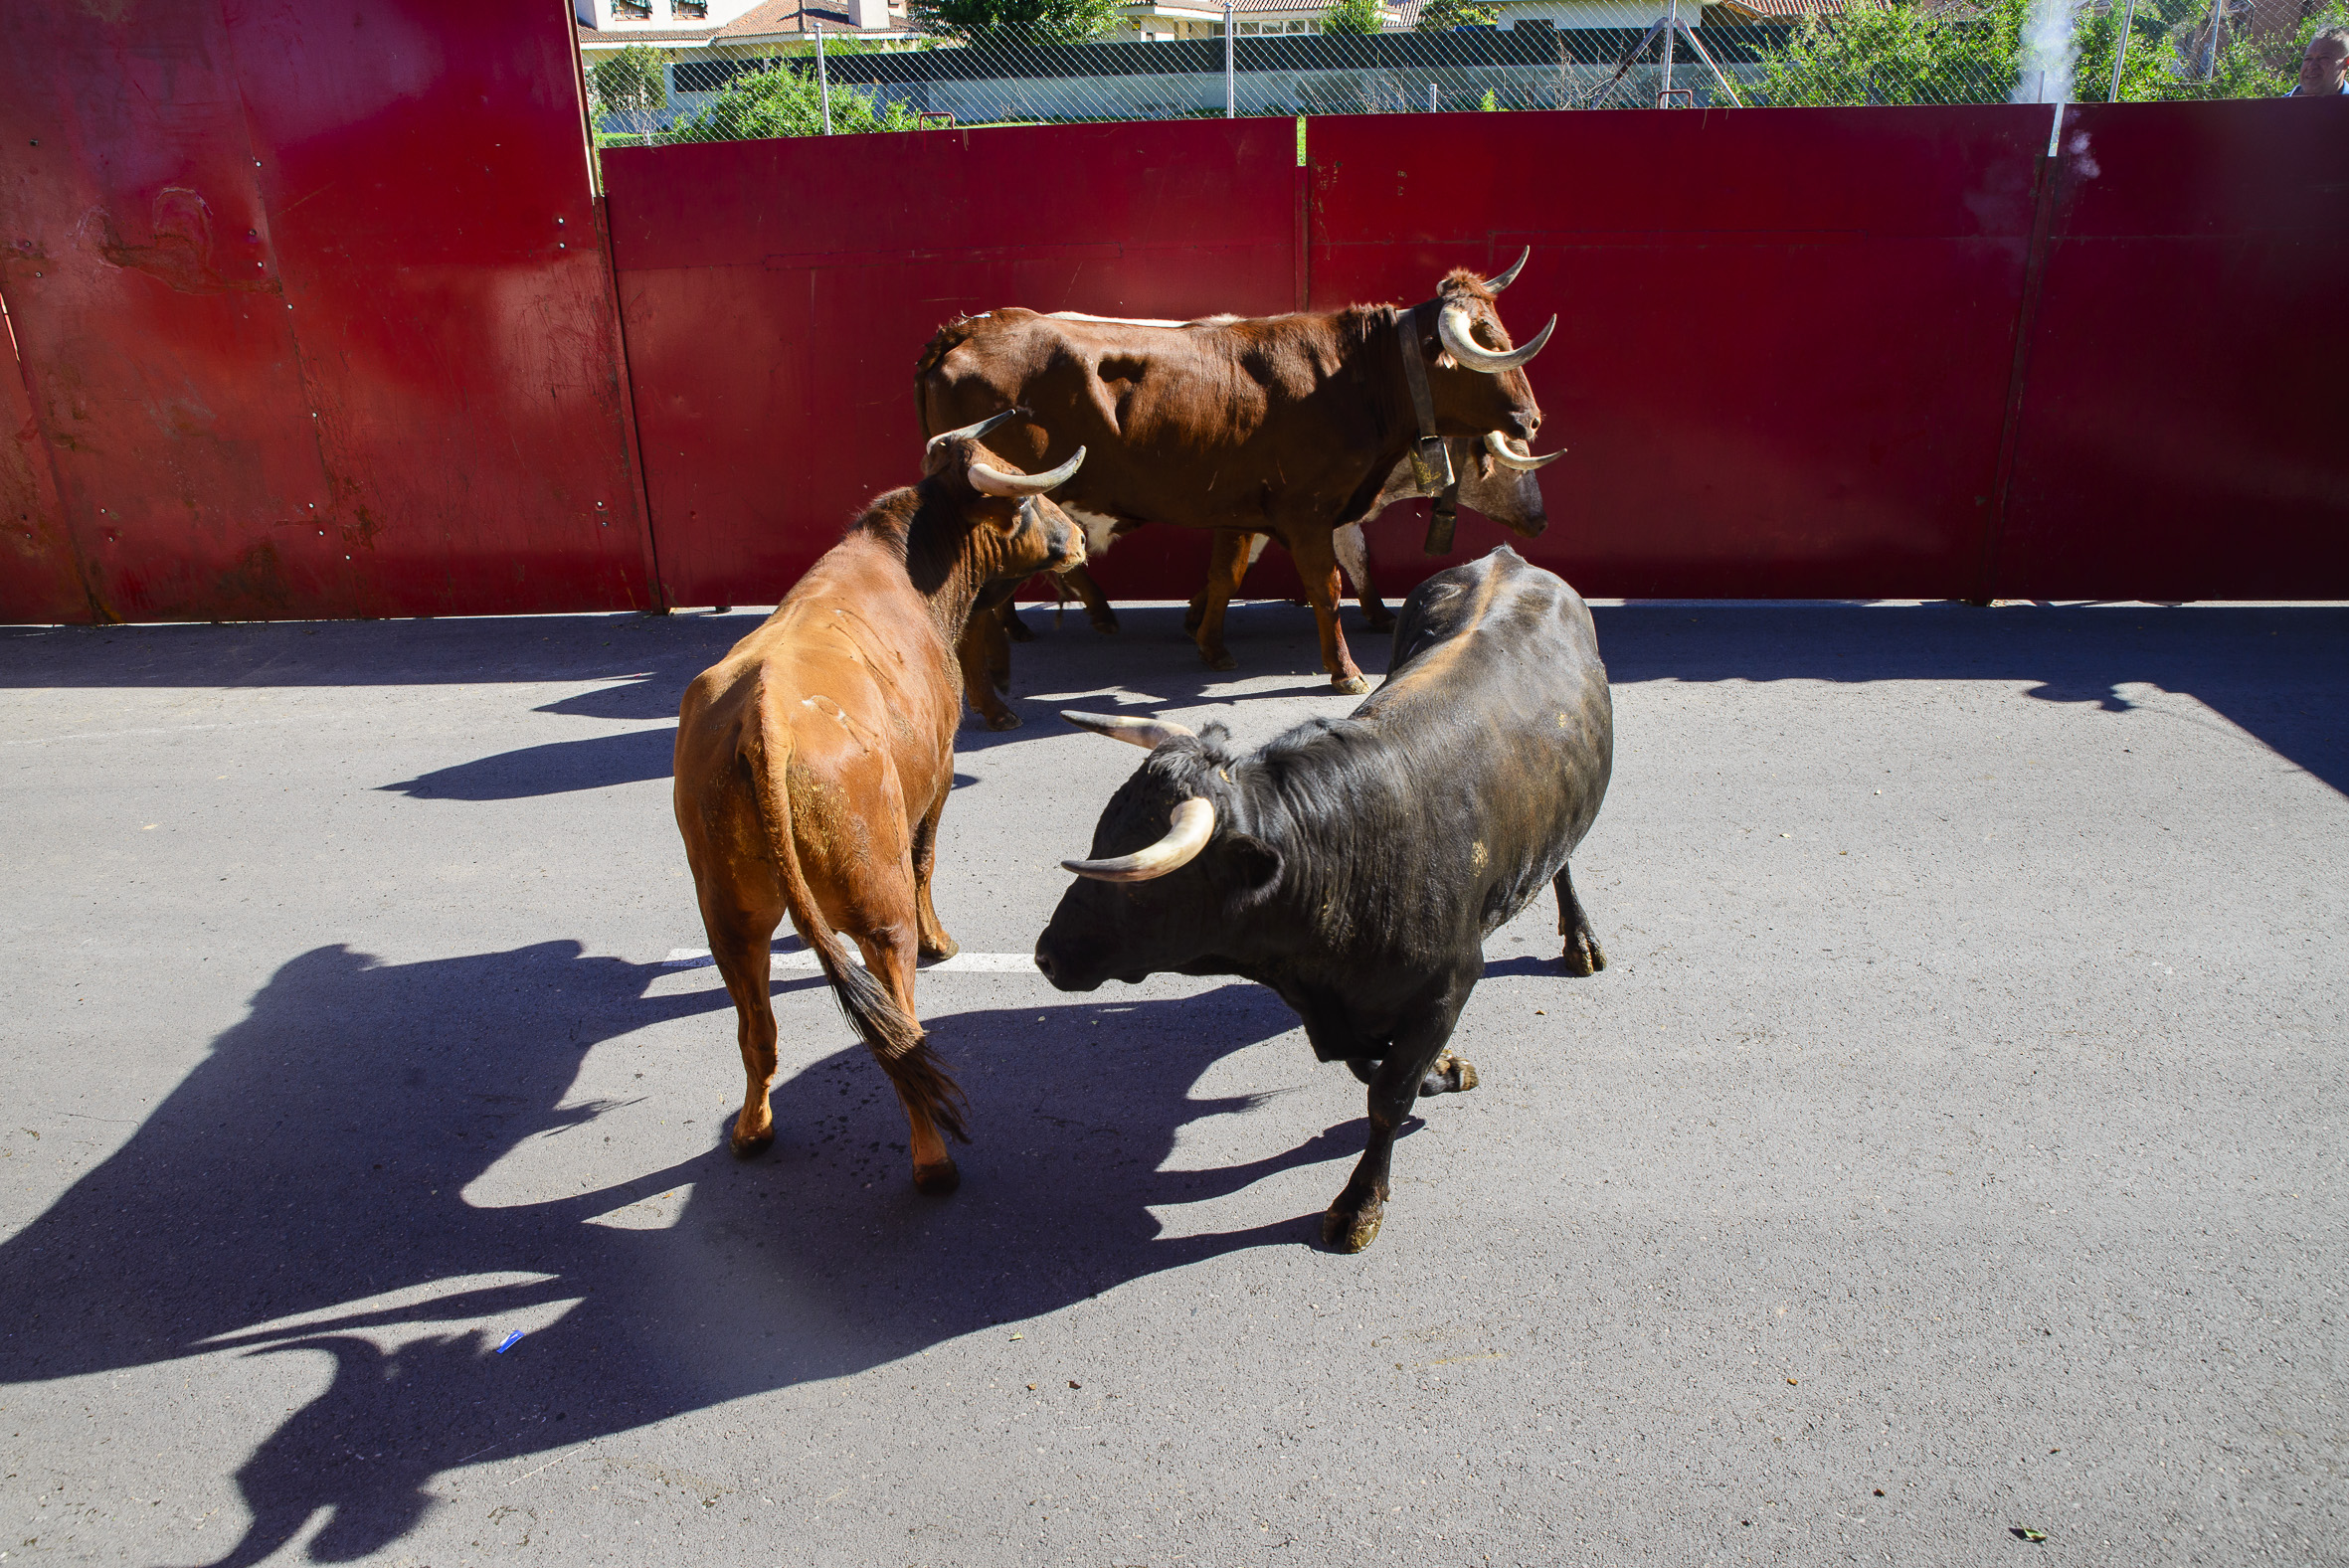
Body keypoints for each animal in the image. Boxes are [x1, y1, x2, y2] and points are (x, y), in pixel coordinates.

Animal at [671, 411, 1089, 1192]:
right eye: (1022, 502)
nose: (1077, 535)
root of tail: (763, 719)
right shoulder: (942, 770)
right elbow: (927, 859)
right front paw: (942, 941)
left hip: (727, 914)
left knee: (757, 1029)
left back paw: (753, 1129)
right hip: (877, 907)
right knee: (900, 1028)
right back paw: (933, 1162)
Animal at [916, 255, 1559, 727]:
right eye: (1487, 344)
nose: (1532, 419)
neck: (1350, 379)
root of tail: (968, 327)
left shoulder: (1239, 510)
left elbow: (1225, 576)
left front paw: (1210, 645)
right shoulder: (1308, 513)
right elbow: (1327, 587)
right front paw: (1344, 669)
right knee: (977, 612)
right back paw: (996, 705)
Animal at [1033, 544, 1606, 1258]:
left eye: (1143, 887)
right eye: (1101, 833)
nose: (1046, 955)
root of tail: (1505, 557)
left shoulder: (1449, 983)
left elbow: (1388, 1095)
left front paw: (1359, 1204)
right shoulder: (1338, 1008)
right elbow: (1372, 1070)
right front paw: (1445, 1071)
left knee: (1566, 858)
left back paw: (1580, 941)